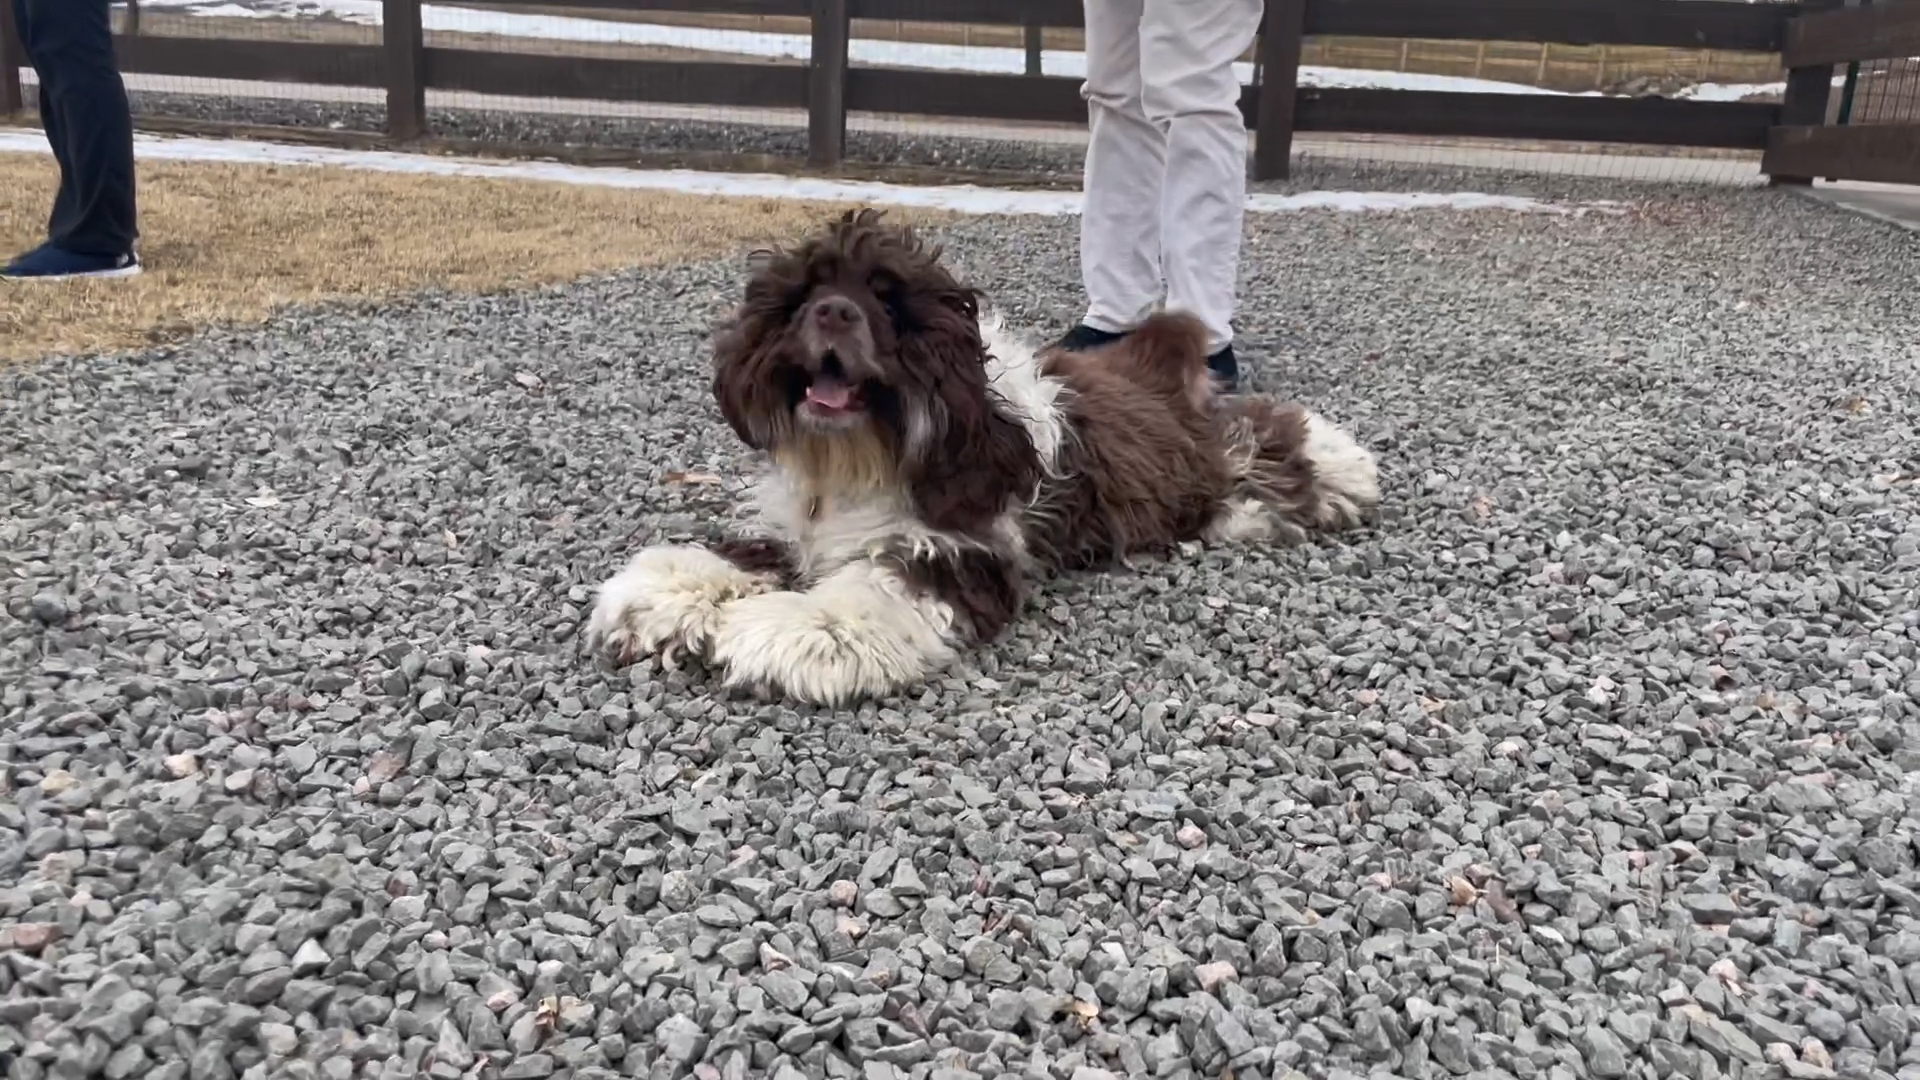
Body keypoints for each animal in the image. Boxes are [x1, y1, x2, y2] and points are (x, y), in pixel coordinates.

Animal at [583, 210, 1382, 707]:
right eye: (805, 293)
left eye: (889, 304)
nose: (833, 312)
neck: (858, 458)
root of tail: (1148, 356)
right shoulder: (794, 523)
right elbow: (733, 556)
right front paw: (660, 596)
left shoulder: (960, 549)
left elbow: (865, 594)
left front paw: (785, 630)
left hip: (1208, 457)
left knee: (1262, 434)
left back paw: (1343, 467)